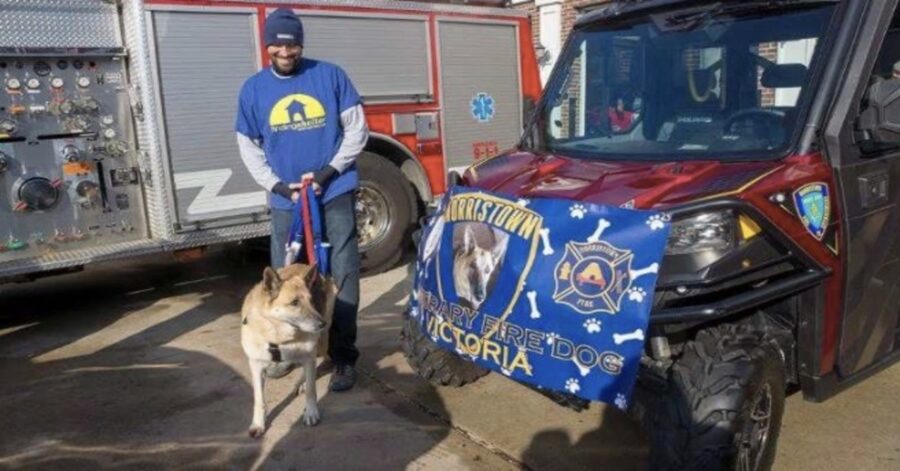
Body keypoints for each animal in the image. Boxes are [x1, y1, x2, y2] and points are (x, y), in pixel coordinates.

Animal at [241, 266, 336, 438]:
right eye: (294, 303)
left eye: (311, 301)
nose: (322, 323)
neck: (277, 336)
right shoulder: (256, 365)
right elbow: (259, 399)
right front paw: (258, 423)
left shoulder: (308, 354)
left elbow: (311, 390)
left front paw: (311, 413)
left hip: (322, 341)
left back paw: (302, 382)